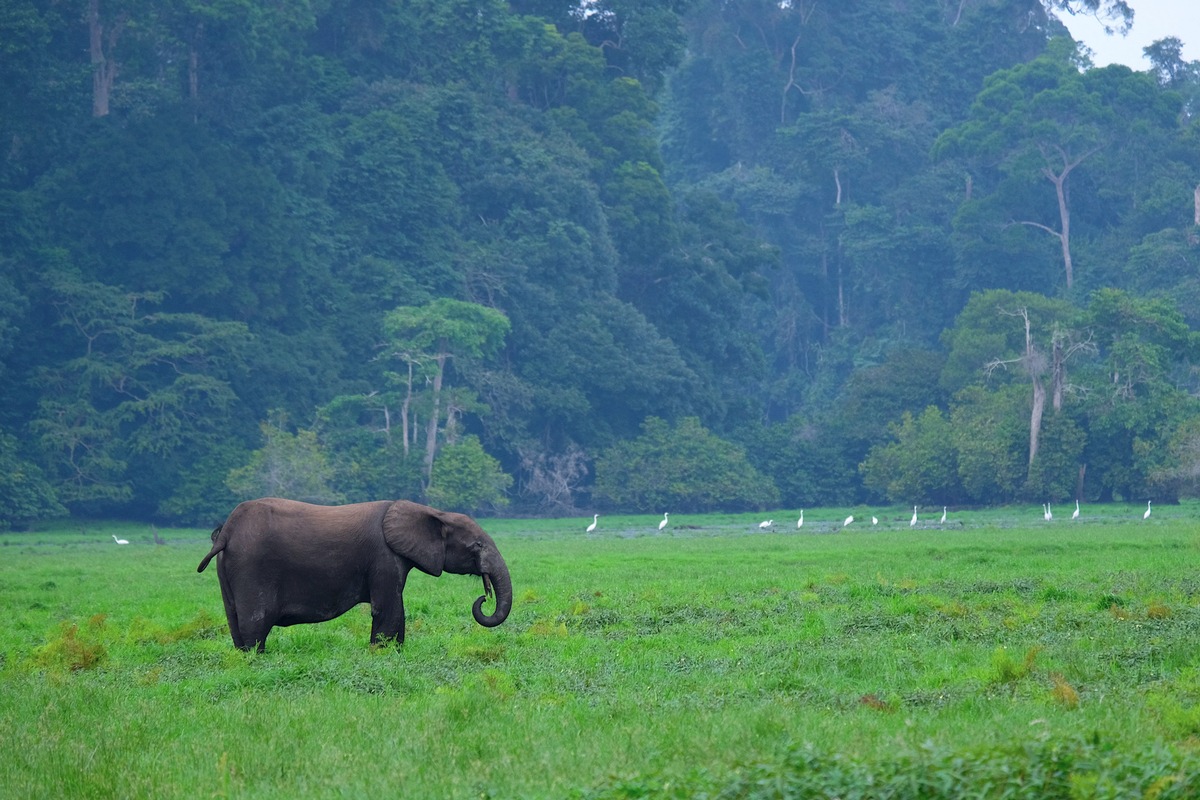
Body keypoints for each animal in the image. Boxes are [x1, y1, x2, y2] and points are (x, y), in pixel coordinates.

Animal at [195, 496, 511, 652]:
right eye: (477, 545)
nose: (483, 599)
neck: (434, 512)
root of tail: (227, 531)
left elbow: (397, 609)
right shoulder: (383, 557)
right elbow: (388, 609)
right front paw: (382, 654)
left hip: (227, 568)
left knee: (236, 622)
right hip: (252, 566)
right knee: (256, 623)